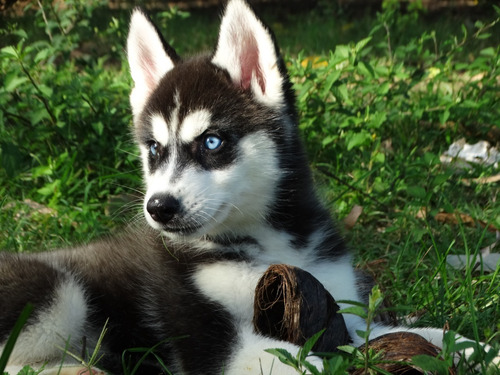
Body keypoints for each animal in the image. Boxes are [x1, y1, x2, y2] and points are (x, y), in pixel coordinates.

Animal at [0, 0, 494, 375]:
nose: (159, 207)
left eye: (211, 142)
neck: (269, 244)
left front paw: (471, 346)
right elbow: (305, 358)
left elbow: (408, 333)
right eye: (155, 149)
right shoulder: (213, 343)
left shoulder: (341, 305)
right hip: (55, 290)